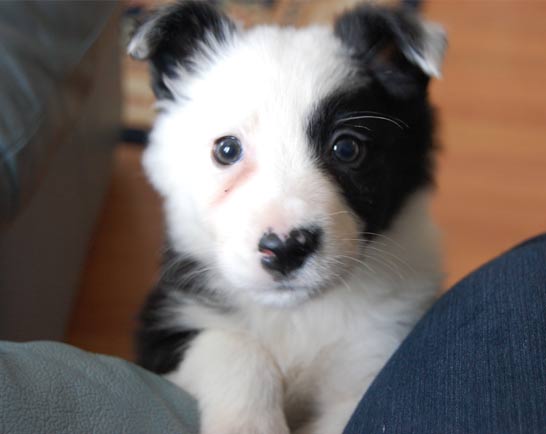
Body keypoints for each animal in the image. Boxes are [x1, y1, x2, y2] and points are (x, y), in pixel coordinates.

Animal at [130, 1, 444, 432]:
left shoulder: (379, 346)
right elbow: (231, 344)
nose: (284, 249)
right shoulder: (167, 325)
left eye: (347, 148)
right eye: (227, 150)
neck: (295, 315)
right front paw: (247, 423)